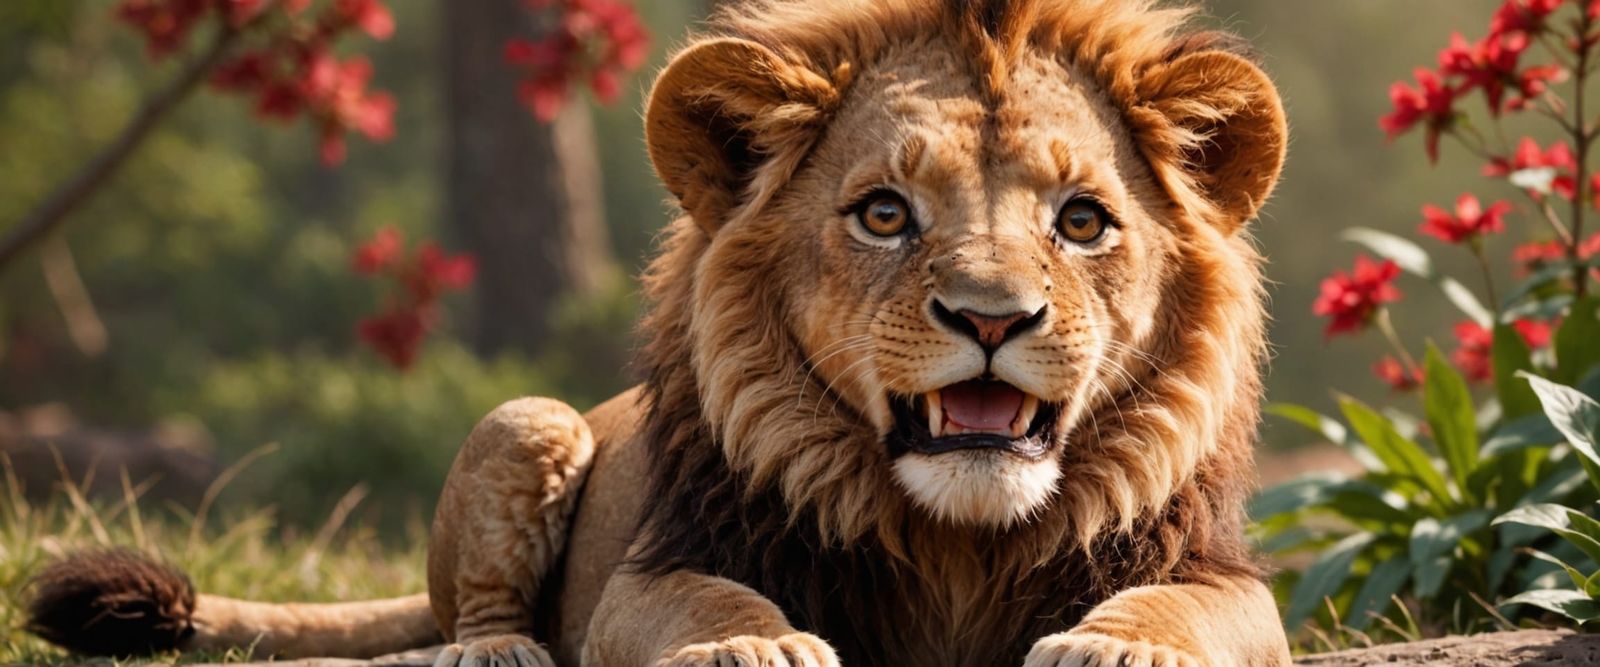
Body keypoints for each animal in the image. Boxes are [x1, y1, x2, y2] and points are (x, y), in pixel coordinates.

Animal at [24, 0, 1292, 665]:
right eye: (885, 214)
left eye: (1081, 221)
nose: (990, 317)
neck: (954, 538)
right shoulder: (658, 568)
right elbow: (704, 603)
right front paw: (757, 648)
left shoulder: (1224, 578)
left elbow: (1186, 608)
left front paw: (1117, 644)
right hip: (527, 422)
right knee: (471, 605)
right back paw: (498, 647)